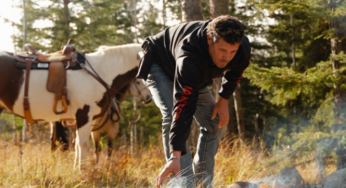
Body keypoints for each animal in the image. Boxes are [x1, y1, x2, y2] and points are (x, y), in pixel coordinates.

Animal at [0, 44, 142, 170]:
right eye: (139, 82)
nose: (147, 98)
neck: (100, 72)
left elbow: (77, 144)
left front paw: (76, 170)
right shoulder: (84, 114)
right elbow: (83, 144)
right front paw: (82, 172)